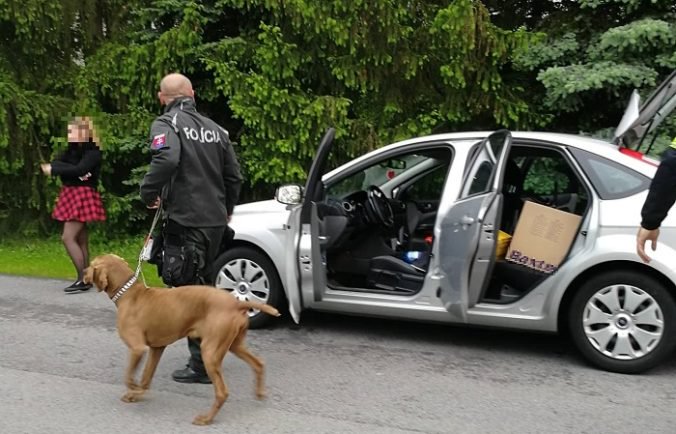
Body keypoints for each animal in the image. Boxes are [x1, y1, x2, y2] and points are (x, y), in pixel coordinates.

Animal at [84, 253, 280, 426]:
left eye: (92, 264)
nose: (83, 272)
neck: (129, 294)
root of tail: (237, 303)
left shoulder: (138, 348)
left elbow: (128, 376)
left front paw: (133, 387)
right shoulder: (157, 348)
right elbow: (146, 376)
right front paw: (136, 394)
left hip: (210, 352)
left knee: (222, 392)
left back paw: (206, 419)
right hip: (234, 345)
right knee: (258, 363)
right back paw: (259, 393)